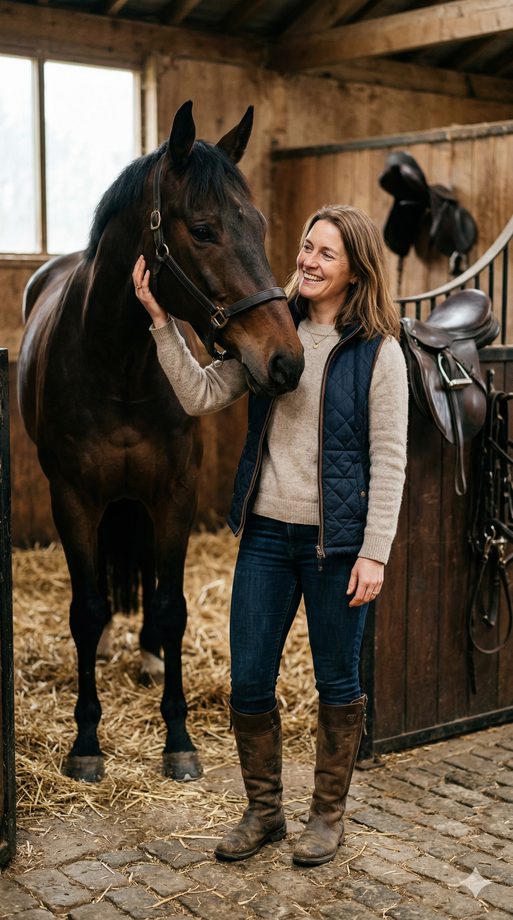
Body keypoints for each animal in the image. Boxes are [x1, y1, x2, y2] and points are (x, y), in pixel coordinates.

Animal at [18, 100, 304, 784]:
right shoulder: (72, 498)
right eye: (202, 229)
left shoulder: (175, 493)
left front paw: (178, 737)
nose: (285, 360)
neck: (117, 363)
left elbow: (172, 606)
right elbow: (87, 608)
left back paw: (146, 654)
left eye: (258, 224)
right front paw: (86, 742)